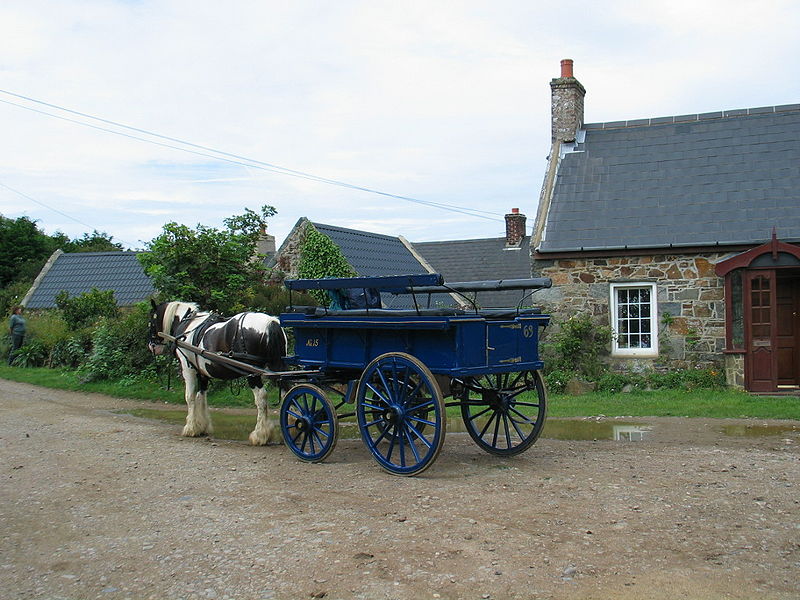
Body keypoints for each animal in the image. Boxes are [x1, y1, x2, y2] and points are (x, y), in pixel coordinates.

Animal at [147, 300, 288, 446]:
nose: (152, 346)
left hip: (252, 373)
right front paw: (202, 427)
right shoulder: (202, 373)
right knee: (285, 391)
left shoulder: (188, 369)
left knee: (261, 397)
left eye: (151, 321)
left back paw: (260, 435)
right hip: (277, 367)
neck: (187, 324)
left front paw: (191, 428)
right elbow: (201, 396)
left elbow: (190, 397)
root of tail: (271, 322)